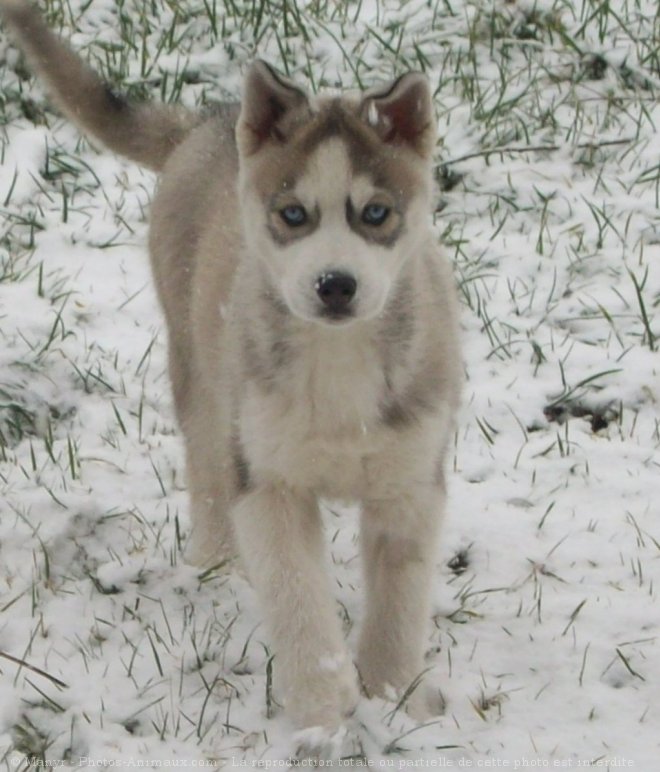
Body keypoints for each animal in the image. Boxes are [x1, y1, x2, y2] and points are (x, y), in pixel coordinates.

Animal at [1, 0, 458, 736]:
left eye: (376, 213)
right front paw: (322, 713)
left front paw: (392, 703)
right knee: (208, 468)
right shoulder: (269, 483)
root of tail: (204, 124)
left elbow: (398, 606)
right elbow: (298, 601)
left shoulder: (410, 484)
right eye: (293, 214)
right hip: (202, 376)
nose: (335, 284)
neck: (337, 360)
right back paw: (215, 570)